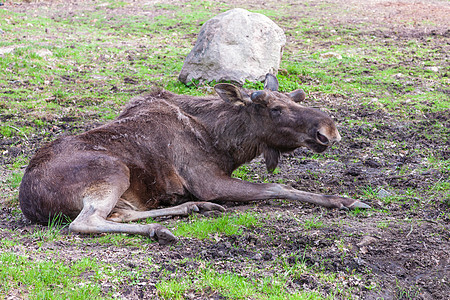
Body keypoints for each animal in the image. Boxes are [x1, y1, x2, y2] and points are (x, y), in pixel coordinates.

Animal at [19, 74, 370, 245]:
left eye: (296, 98)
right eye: (275, 109)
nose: (329, 131)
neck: (223, 143)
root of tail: (29, 202)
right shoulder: (208, 181)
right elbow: (277, 189)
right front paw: (346, 200)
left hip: (121, 190)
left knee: (118, 215)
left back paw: (191, 209)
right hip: (113, 171)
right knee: (85, 221)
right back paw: (161, 230)